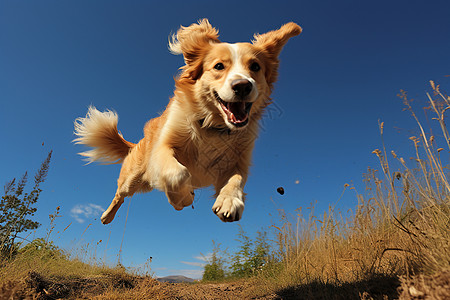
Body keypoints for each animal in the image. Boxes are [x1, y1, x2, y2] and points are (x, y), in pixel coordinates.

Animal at [74, 18, 302, 224]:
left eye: (255, 66)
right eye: (219, 66)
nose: (242, 85)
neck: (214, 128)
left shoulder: (240, 160)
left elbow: (236, 179)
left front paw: (229, 202)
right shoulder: (163, 149)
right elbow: (178, 173)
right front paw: (182, 198)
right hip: (134, 177)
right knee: (119, 194)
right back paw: (107, 216)